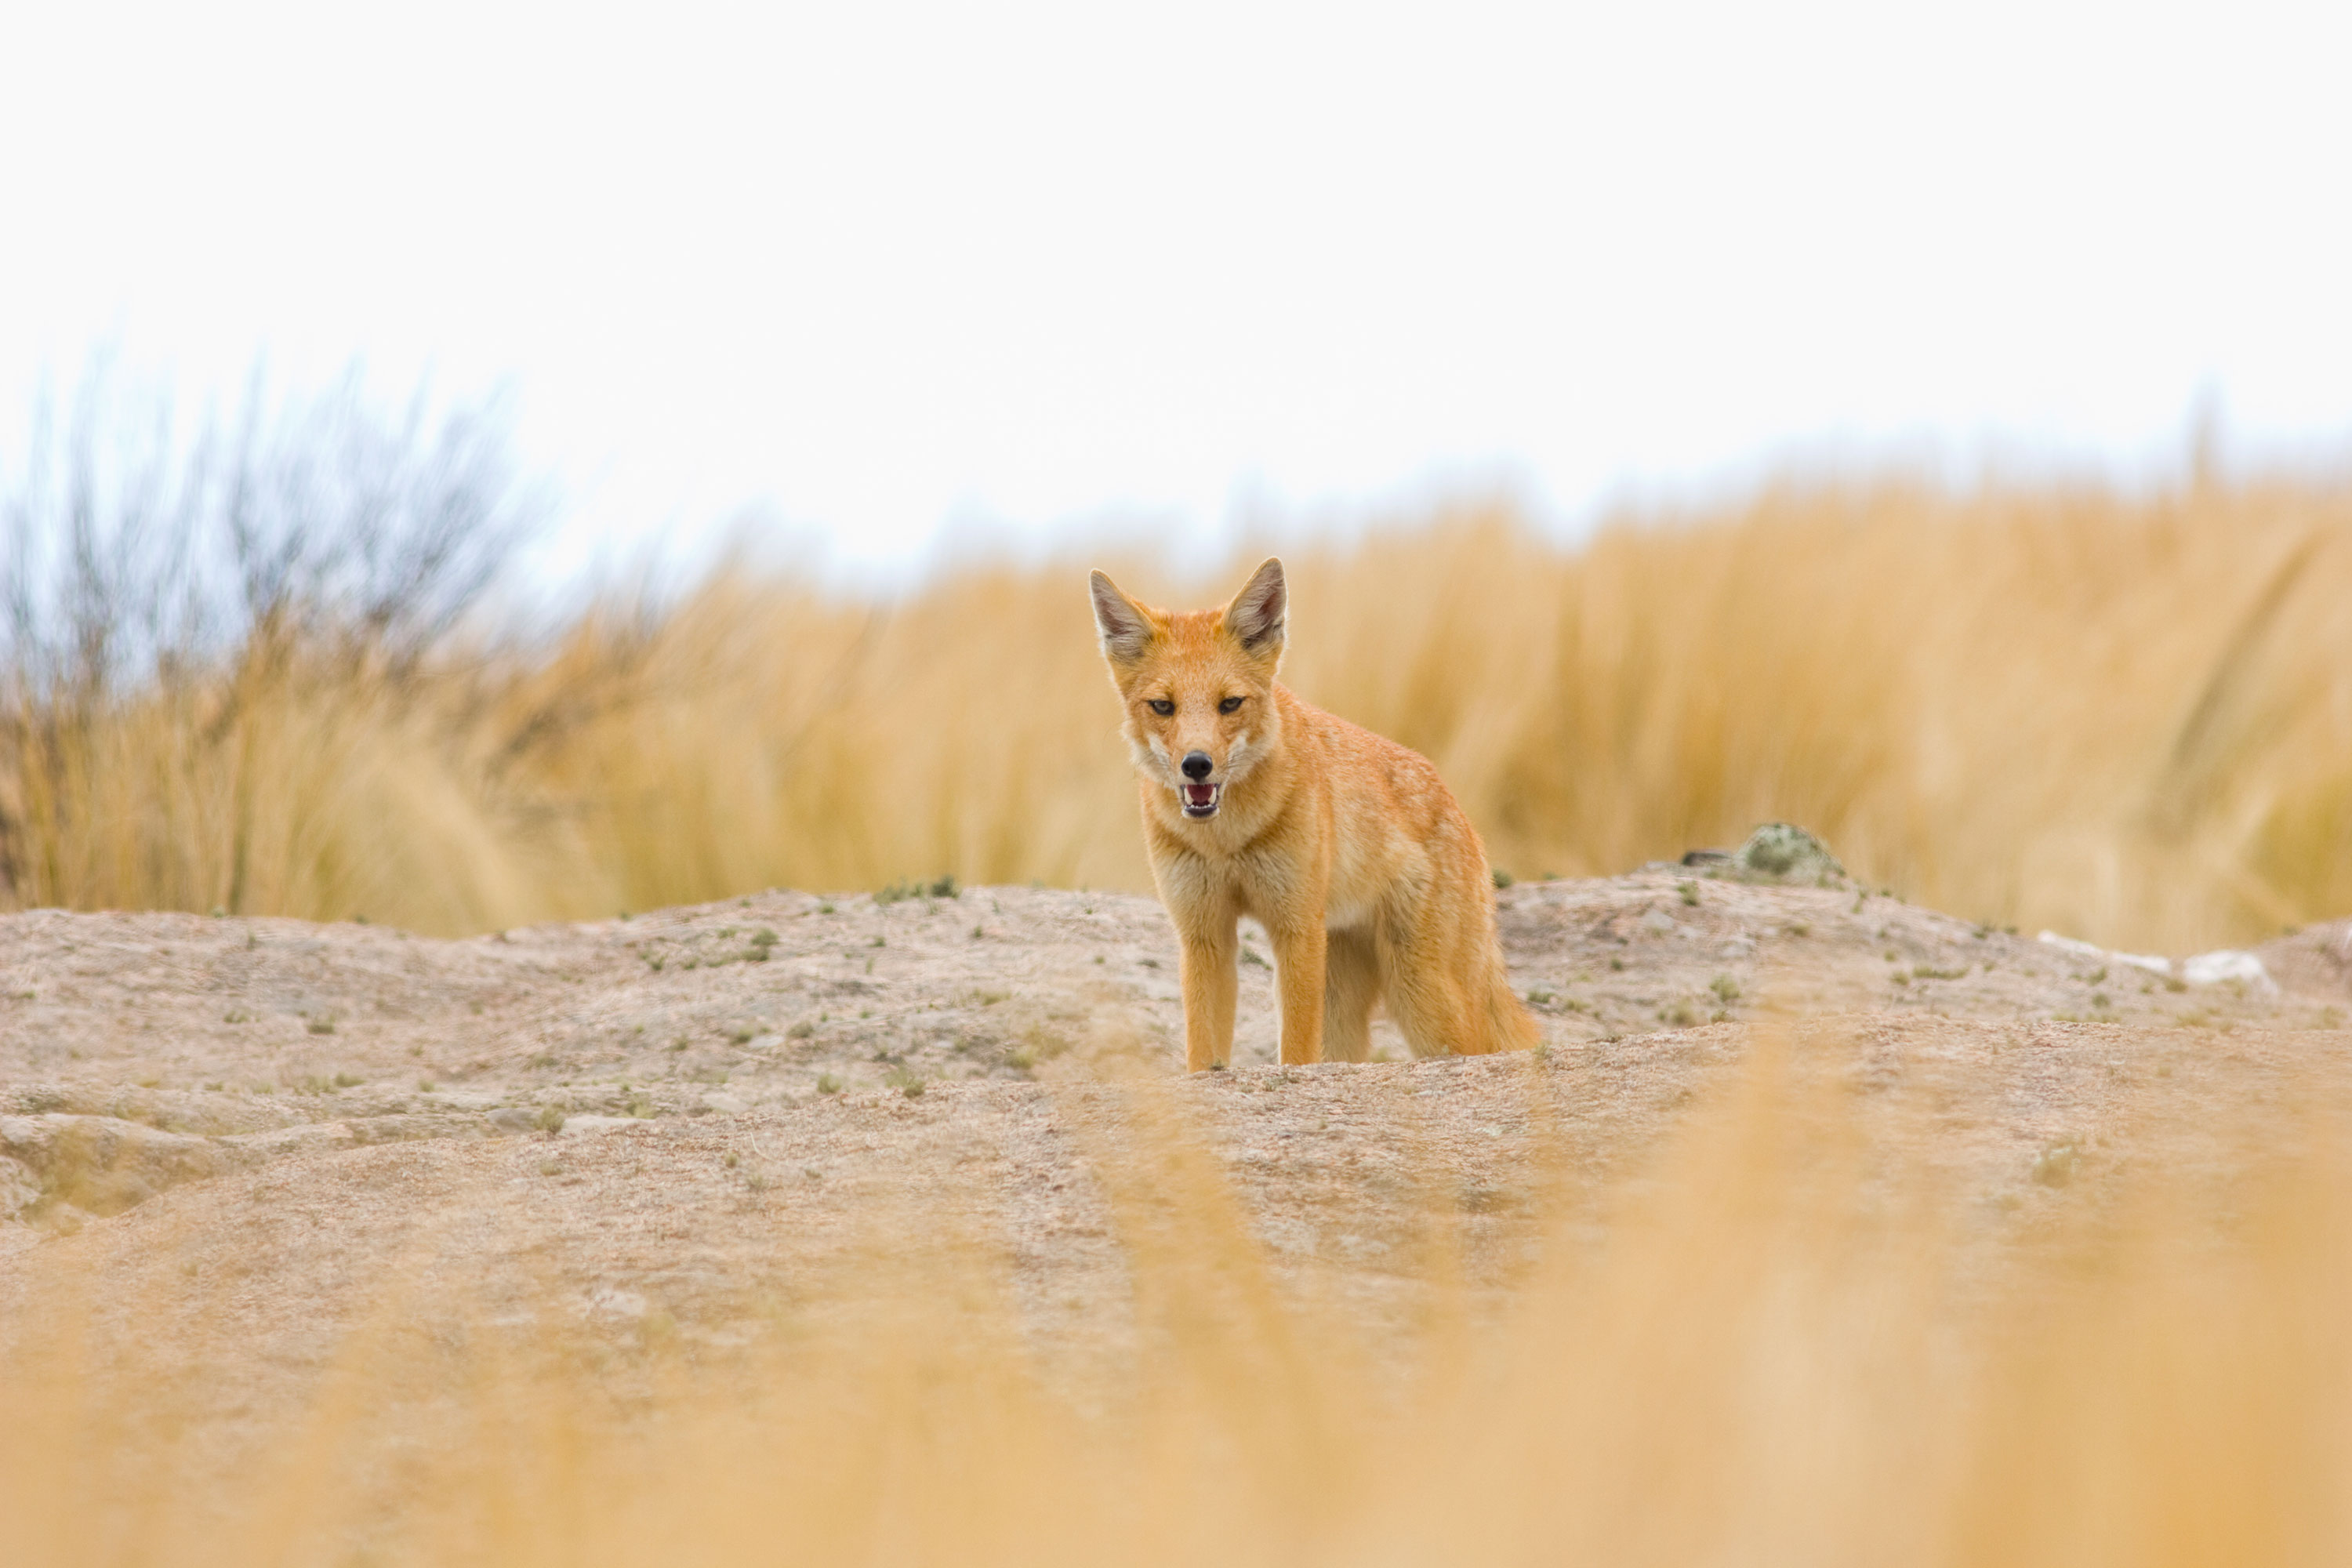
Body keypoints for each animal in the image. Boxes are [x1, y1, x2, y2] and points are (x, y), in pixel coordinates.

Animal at [1087, 557, 1543, 1072]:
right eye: (1163, 706)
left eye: (1230, 704)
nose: (1197, 764)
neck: (1225, 842)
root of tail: (1454, 804)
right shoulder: (1204, 934)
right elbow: (1203, 1053)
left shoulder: (1297, 928)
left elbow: (1297, 1053)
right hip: (1351, 1002)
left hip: (1423, 997)